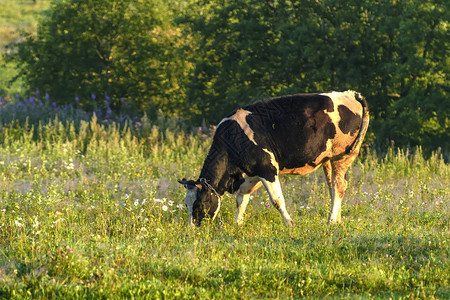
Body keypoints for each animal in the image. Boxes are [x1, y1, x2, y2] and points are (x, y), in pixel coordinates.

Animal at [179, 90, 370, 226]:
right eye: (187, 204)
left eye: (199, 205)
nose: (193, 229)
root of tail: (350, 93)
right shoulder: (251, 174)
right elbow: (241, 200)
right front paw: (237, 223)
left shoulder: (267, 168)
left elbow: (277, 200)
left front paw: (289, 224)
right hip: (328, 160)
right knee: (333, 188)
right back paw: (337, 219)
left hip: (342, 156)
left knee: (339, 187)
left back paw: (330, 221)